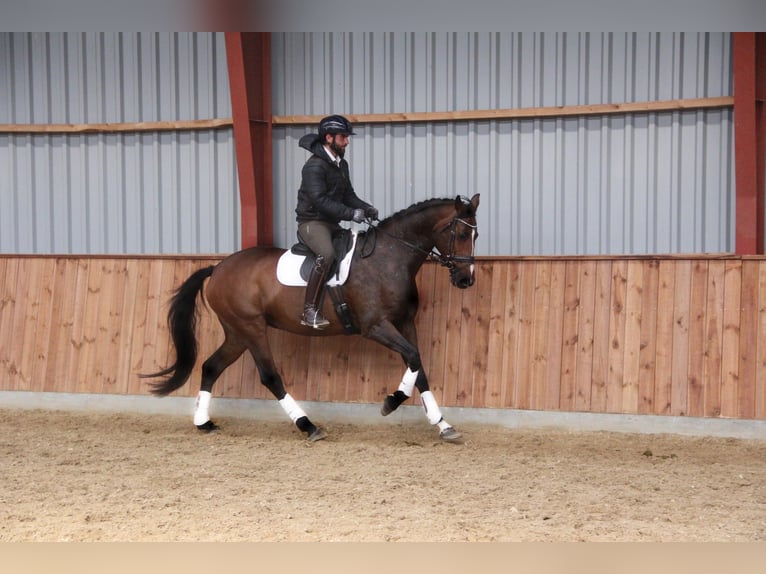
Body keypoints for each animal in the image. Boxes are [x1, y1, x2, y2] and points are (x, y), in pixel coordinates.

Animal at [140, 196, 480, 444]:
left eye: (475, 234)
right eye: (463, 233)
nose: (466, 280)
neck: (389, 258)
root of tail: (218, 268)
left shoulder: (405, 324)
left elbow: (417, 365)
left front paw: (443, 424)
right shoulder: (375, 327)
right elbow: (412, 359)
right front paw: (391, 402)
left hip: (236, 333)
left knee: (211, 366)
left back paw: (204, 422)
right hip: (251, 328)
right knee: (270, 377)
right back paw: (308, 425)